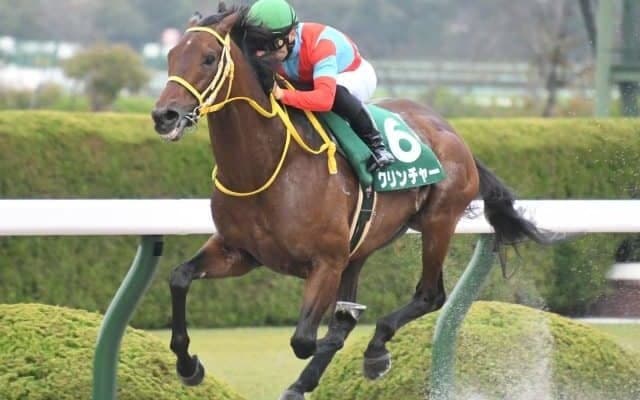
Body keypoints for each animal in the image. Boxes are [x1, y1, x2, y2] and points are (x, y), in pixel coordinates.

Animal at [151, 5, 557, 400]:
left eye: (208, 58)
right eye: (171, 55)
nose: (164, 115)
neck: (266, 167)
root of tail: (453, 133)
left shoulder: (326, 262)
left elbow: (305, 340)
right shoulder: (240, 252)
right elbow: (179, 277)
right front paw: (188, 365)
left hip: (438, 222)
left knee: (429, 296)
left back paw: (374, 350)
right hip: (363, 245)